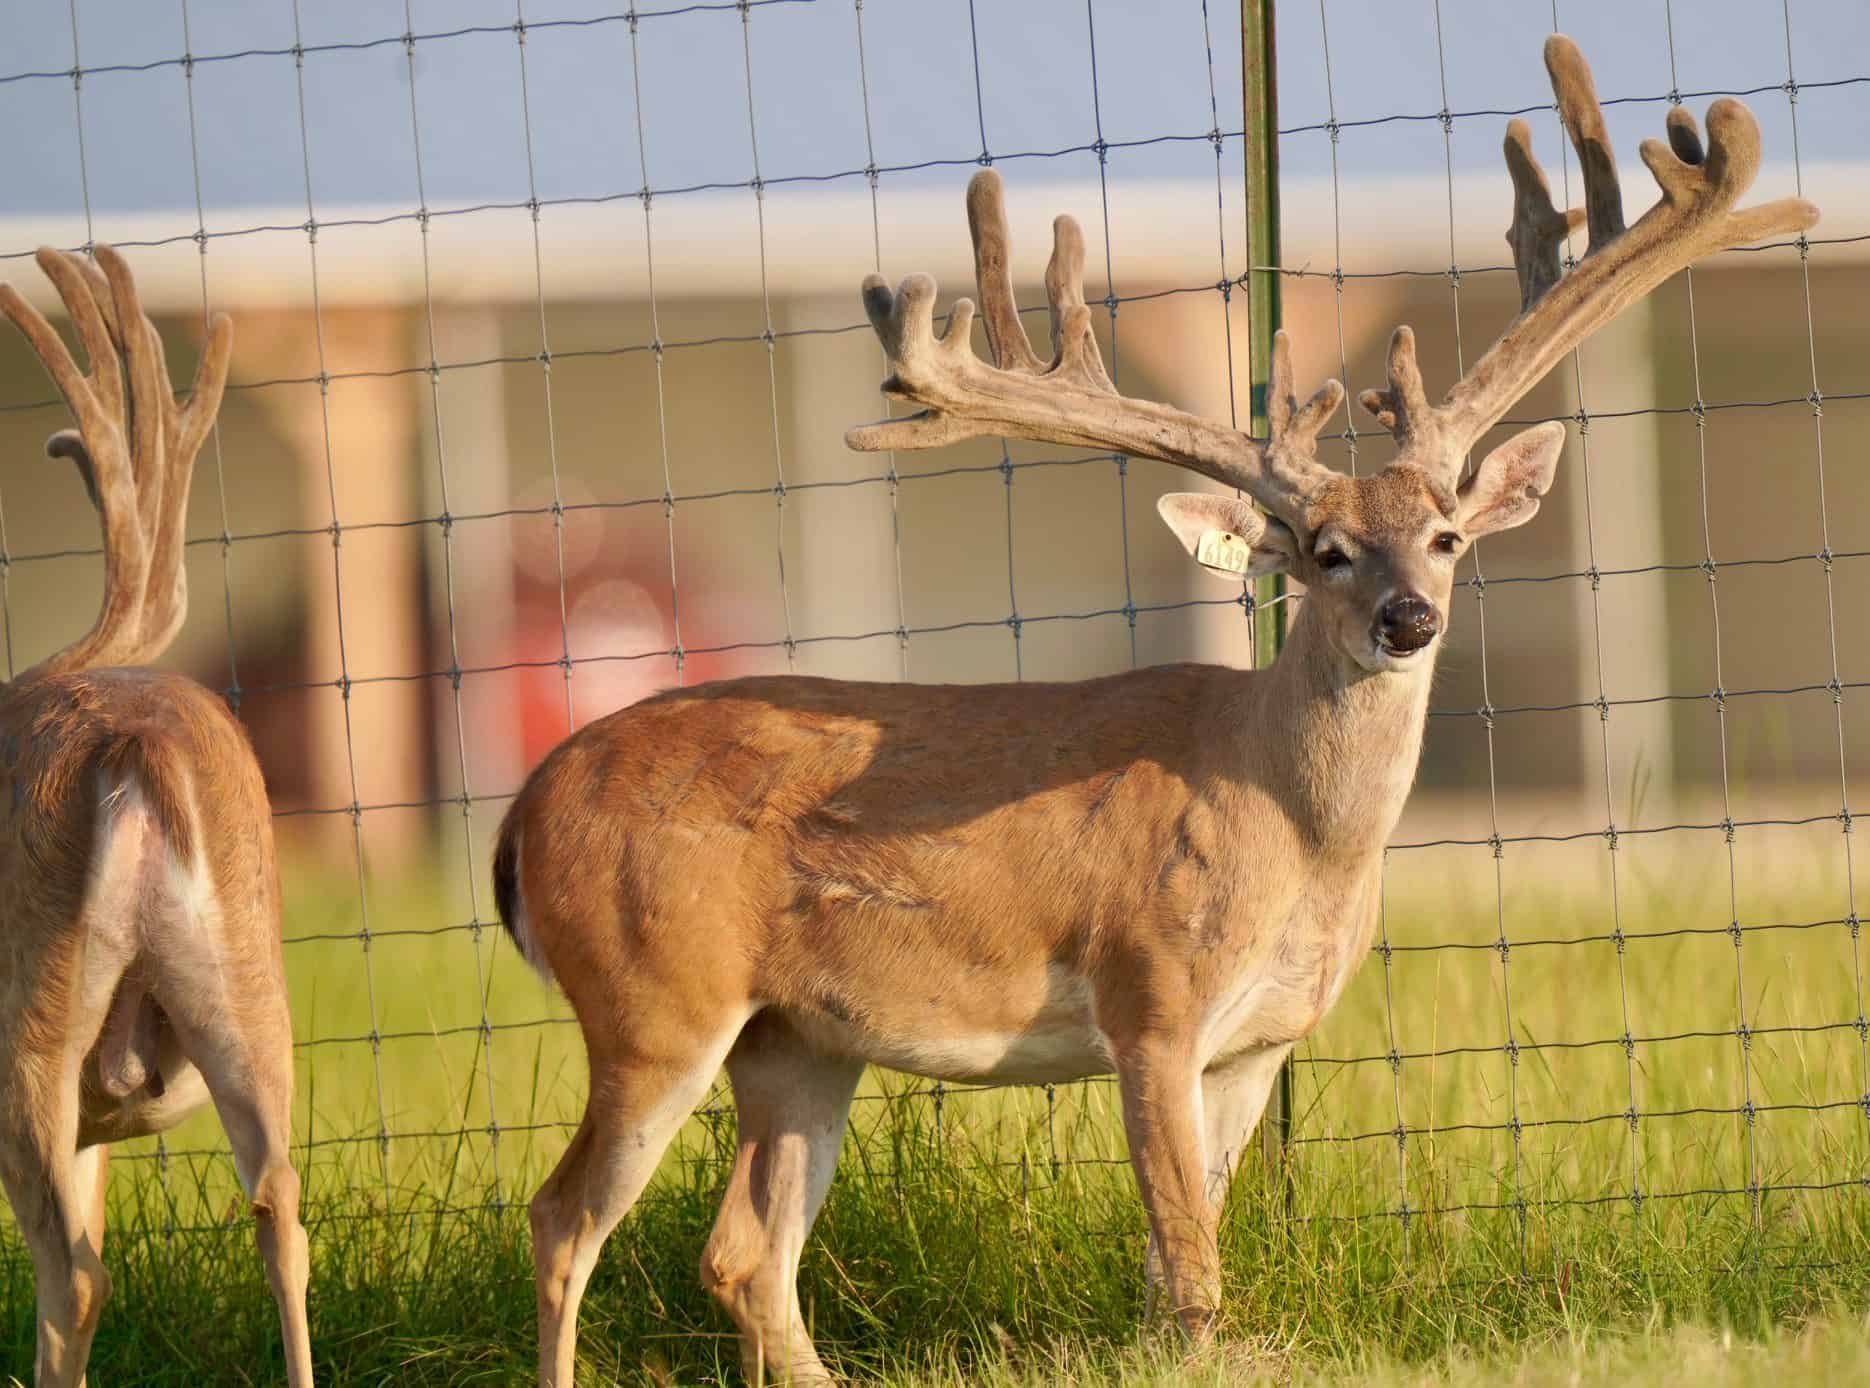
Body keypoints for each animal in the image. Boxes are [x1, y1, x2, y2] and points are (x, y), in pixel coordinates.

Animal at [493, 36, 1816, 1386]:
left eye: (1446, 537)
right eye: (1326, 551)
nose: (1409, 619)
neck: (1295, 834)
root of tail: (523, 807)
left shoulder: (1259, 1040)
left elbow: (1175, 1256)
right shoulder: (1152, 995)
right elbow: (1188, 1267)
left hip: (799, 1035)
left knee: (742, 1251)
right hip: (652, 991)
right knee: (560, 1216)